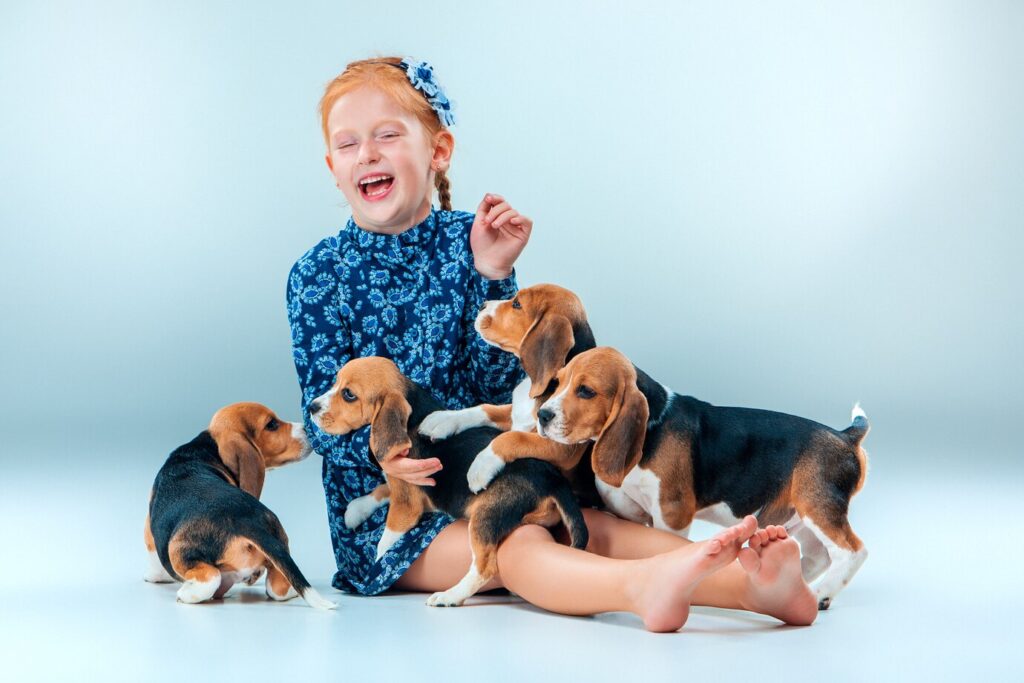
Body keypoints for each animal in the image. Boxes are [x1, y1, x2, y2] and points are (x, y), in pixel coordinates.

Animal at [143, 403, 335, 610]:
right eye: (272, 424)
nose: (308, 429)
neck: (207, 448)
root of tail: (248, 522)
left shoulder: (149, 528)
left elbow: (152, 555)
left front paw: (154, 577)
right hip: (281, 545)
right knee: (277, 588)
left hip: (178, 550)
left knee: (211, 578)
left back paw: (187, 593)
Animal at [307, 356, 589, 606]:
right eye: (335, 383)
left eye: (348, 395)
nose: (312, 407)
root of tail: (553, 479)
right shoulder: (406, 481)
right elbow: (382, 488)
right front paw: (356, 510)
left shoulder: (407, 506)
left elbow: (386, 538)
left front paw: (378, 561)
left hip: (485, 515)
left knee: (485, 567)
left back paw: (449, 596)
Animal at [536, 348, 872, 610]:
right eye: (559, 382)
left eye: (586, 391)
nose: (542, 415)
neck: (654, 423)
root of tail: (846, 435)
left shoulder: (672, 513)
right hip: (800, 515)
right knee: (818, 556)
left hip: (818, 505)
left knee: (853, 551)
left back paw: (819, 594)